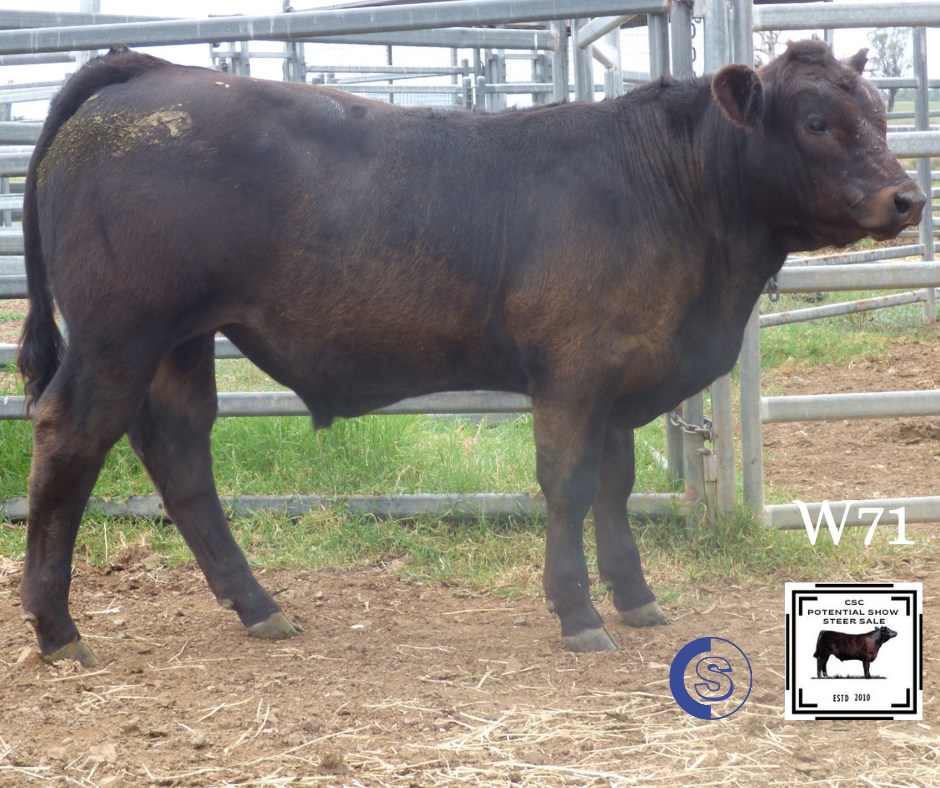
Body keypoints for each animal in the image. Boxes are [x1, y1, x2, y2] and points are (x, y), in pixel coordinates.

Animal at [17, 41, 924, 667]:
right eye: (816, 121)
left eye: (882, 114)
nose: (909, 196)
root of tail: (150, 68)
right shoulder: (573, 371)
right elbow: (570, 485)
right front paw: (578, 614)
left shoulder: (620, 372)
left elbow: (617, 487)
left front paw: (635, 598)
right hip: (120, 334)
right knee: (70, 439)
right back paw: (58, 629)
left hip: (181, 341)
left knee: (179, 452)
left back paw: (258, 606)